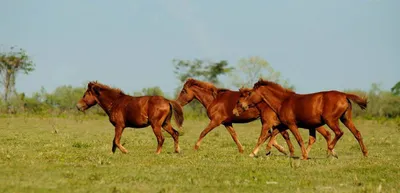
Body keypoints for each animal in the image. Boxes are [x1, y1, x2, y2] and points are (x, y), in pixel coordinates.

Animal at [234, 78, 368, 160]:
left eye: (249, 94)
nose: (240, 107)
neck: (283, 102)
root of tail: (344, 95)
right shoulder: (282, 124)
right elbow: (272, 135)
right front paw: (267, 150)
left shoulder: (290, 124)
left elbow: (298, 139)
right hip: (345, 119)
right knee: (357, 133)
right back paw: (365, 153)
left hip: (330, 121)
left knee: (338, 133)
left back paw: (330, 150)